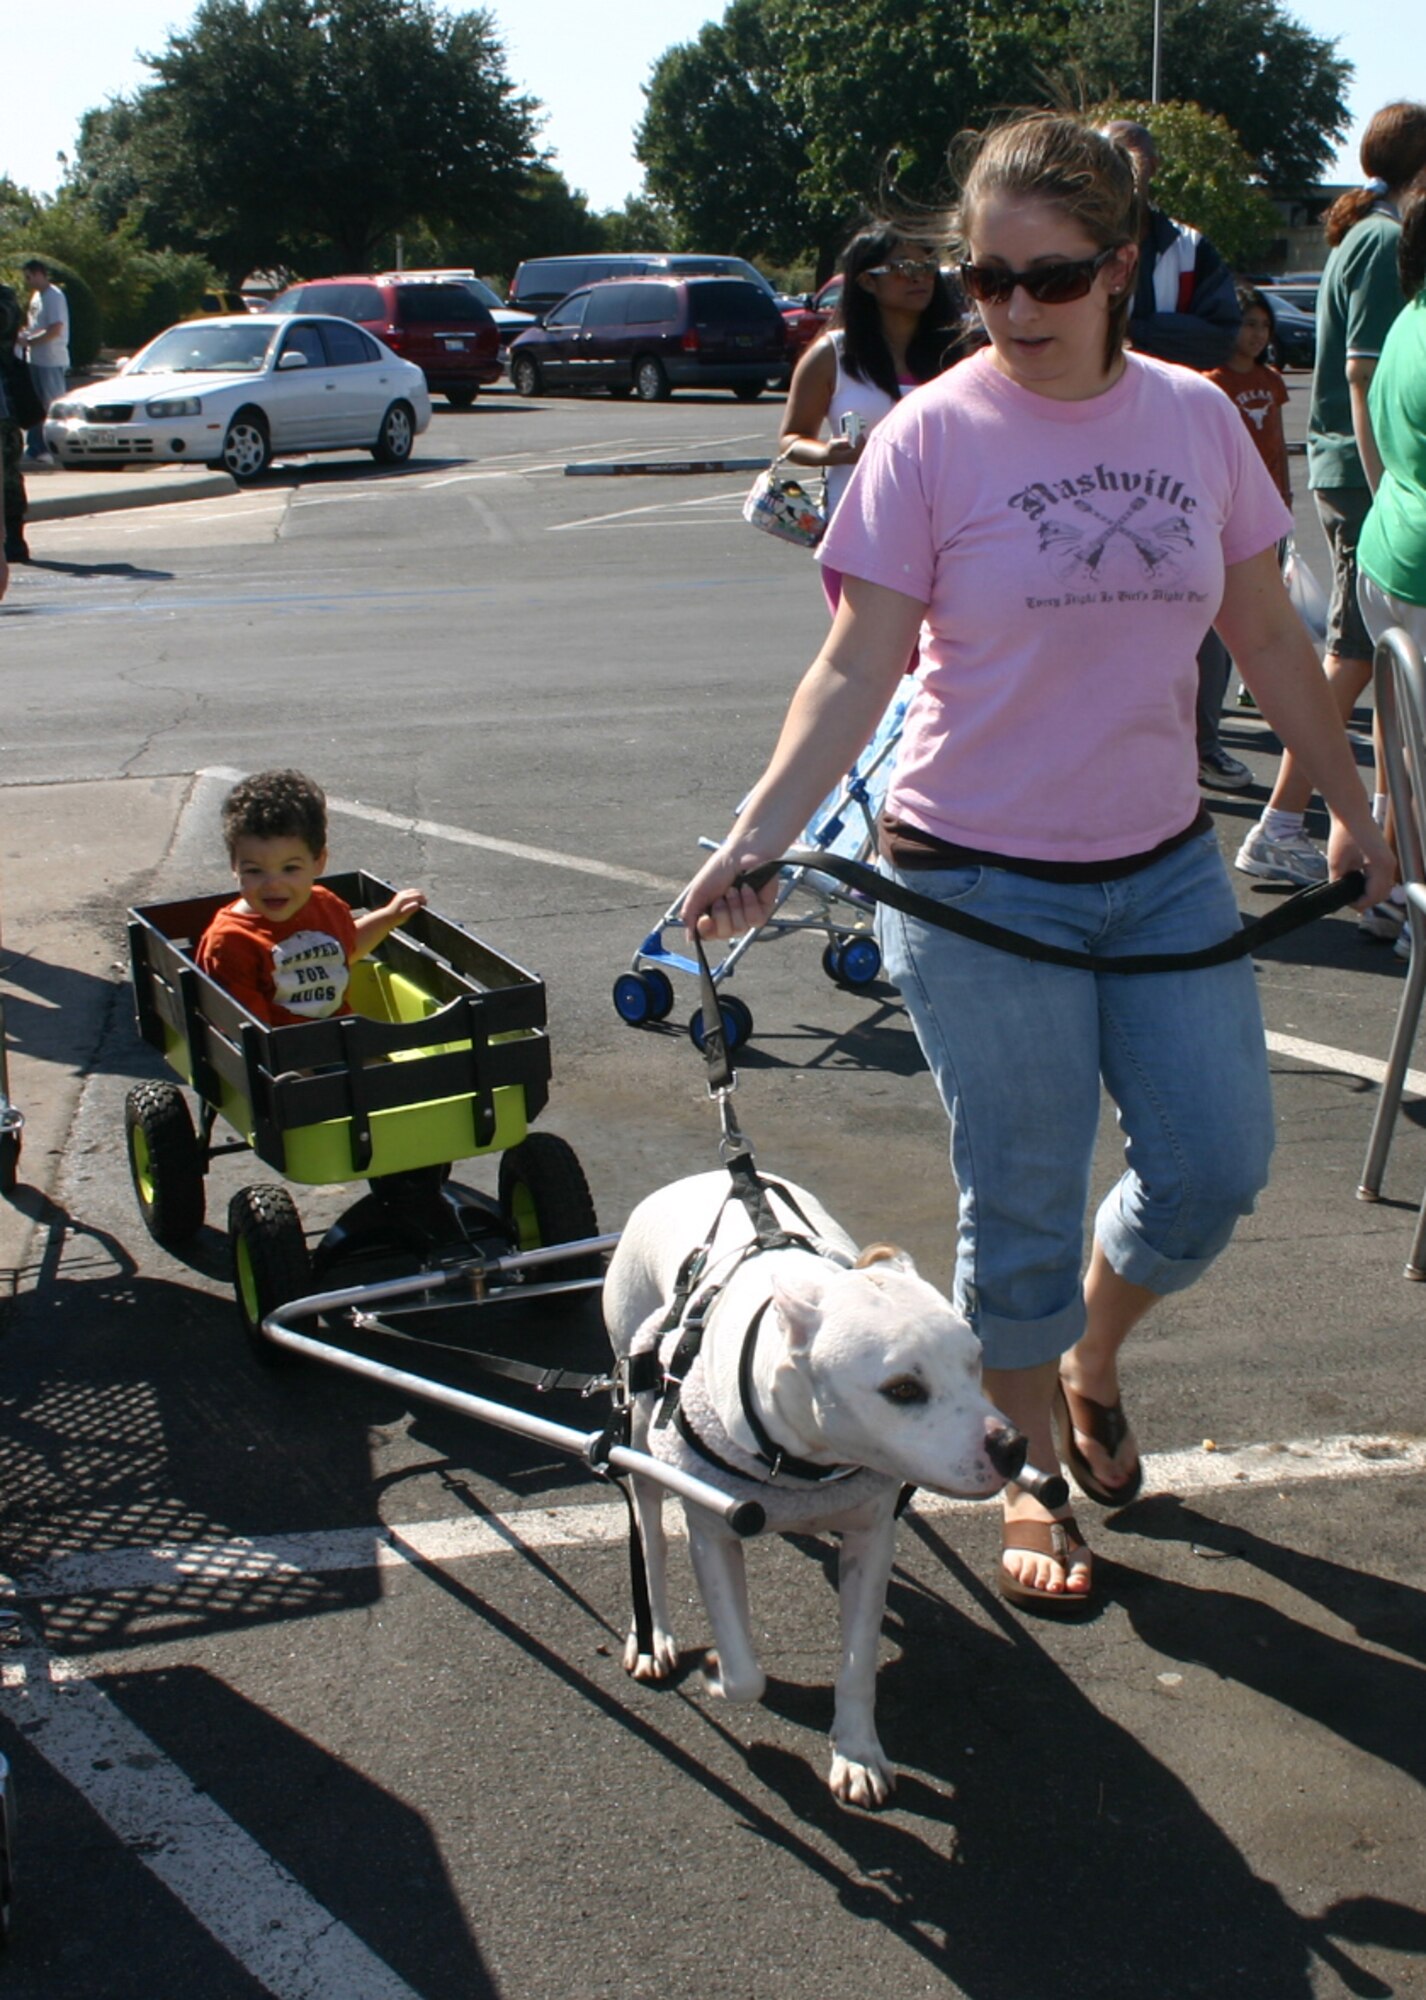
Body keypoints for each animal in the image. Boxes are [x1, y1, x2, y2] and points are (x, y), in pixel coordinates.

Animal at [600, 1168, 1024, 1816]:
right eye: (902, 1389)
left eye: (976, 1362)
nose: (1012, 1448)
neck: (803, 1461)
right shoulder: (712, 1536)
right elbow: (746, 1672)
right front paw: (718, 1673)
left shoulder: (870, 1540)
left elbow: (857, 1664)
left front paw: (857, 1754)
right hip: (641, 1426)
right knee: (649, 1533)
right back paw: (655, 1638)